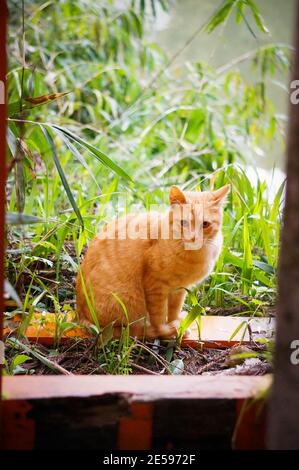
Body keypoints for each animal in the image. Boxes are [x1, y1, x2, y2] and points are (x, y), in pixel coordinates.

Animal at [76, 184, 231, 338]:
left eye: (205, 224)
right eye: (184, 223)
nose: (193, 237)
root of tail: (80, 314)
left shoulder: (179, 289)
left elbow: (173, 311)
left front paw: (176, 323)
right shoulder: (156, 286)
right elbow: (159, 317)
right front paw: (168, 329)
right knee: (126, 330)